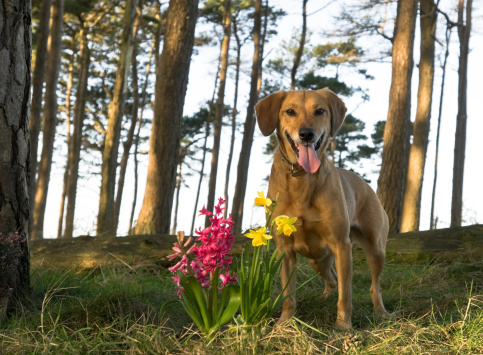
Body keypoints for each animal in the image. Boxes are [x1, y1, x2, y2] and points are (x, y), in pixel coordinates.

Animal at [258, 89, 390, 330]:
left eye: (320, 111)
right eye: (289, 111)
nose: (306, 134)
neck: (302, 178)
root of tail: (366, 184)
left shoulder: (341, 246)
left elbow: (345, 295)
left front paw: (343, 326)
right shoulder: (285, 249)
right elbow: (288, 295)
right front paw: (284, 324)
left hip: (376, 249)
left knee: (373, 286)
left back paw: (381, 312)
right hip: (317, 260)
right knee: (332, 280)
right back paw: (326, 296)